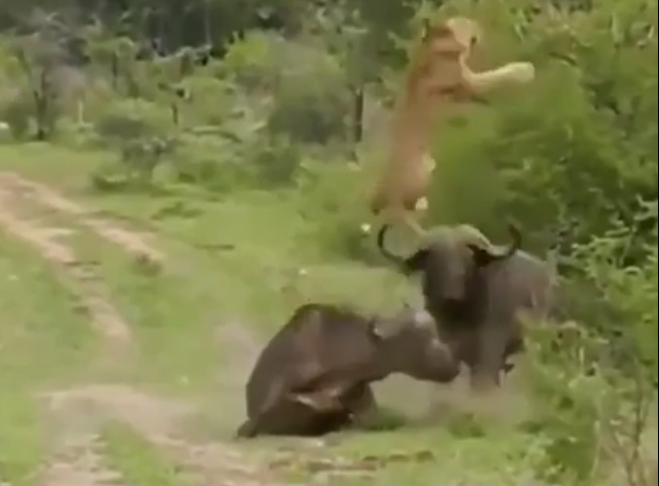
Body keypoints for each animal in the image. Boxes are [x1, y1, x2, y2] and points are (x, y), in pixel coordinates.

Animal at [365, 16, 535, 239]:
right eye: (465, 24)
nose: (478, 30)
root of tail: (391, 193)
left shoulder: (465, 87)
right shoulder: (470, 81)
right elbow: (498, 75)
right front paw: (525, 70)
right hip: (423, 173)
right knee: (410, 213)